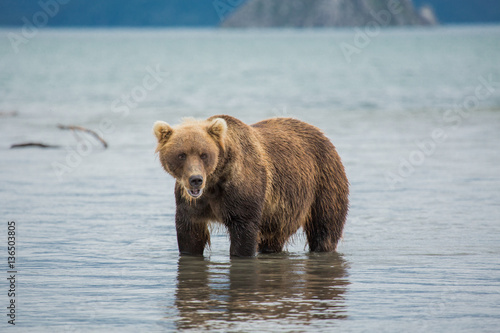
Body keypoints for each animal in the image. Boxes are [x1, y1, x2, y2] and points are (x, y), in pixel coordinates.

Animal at [152, 114, 348, 256]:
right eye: (181, 155)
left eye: (204, 154)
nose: (196, 179)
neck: (215, 180)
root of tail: (318, 131)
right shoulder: (192, 203)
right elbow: (190, 234)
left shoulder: (242, 192)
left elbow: (244, 232)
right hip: (280, 211)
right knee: (274, 237)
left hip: (324, 181)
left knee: (324, 228)